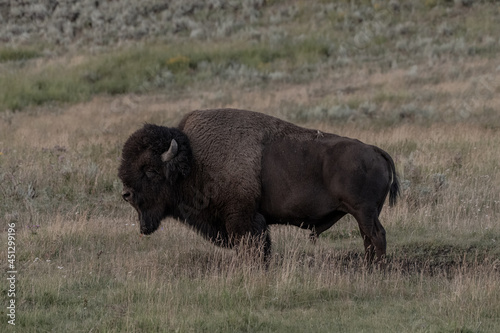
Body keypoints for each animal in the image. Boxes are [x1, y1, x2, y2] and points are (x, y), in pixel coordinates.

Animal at [117, 107, 398, 260]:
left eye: (150, 170)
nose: (126, 194)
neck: (194, 160)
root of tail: (375, 150)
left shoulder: (242, 219)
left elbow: (251, 247)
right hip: (363, 213)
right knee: (369, 238)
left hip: (363, 211)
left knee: (377, 236)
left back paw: (376, 269)